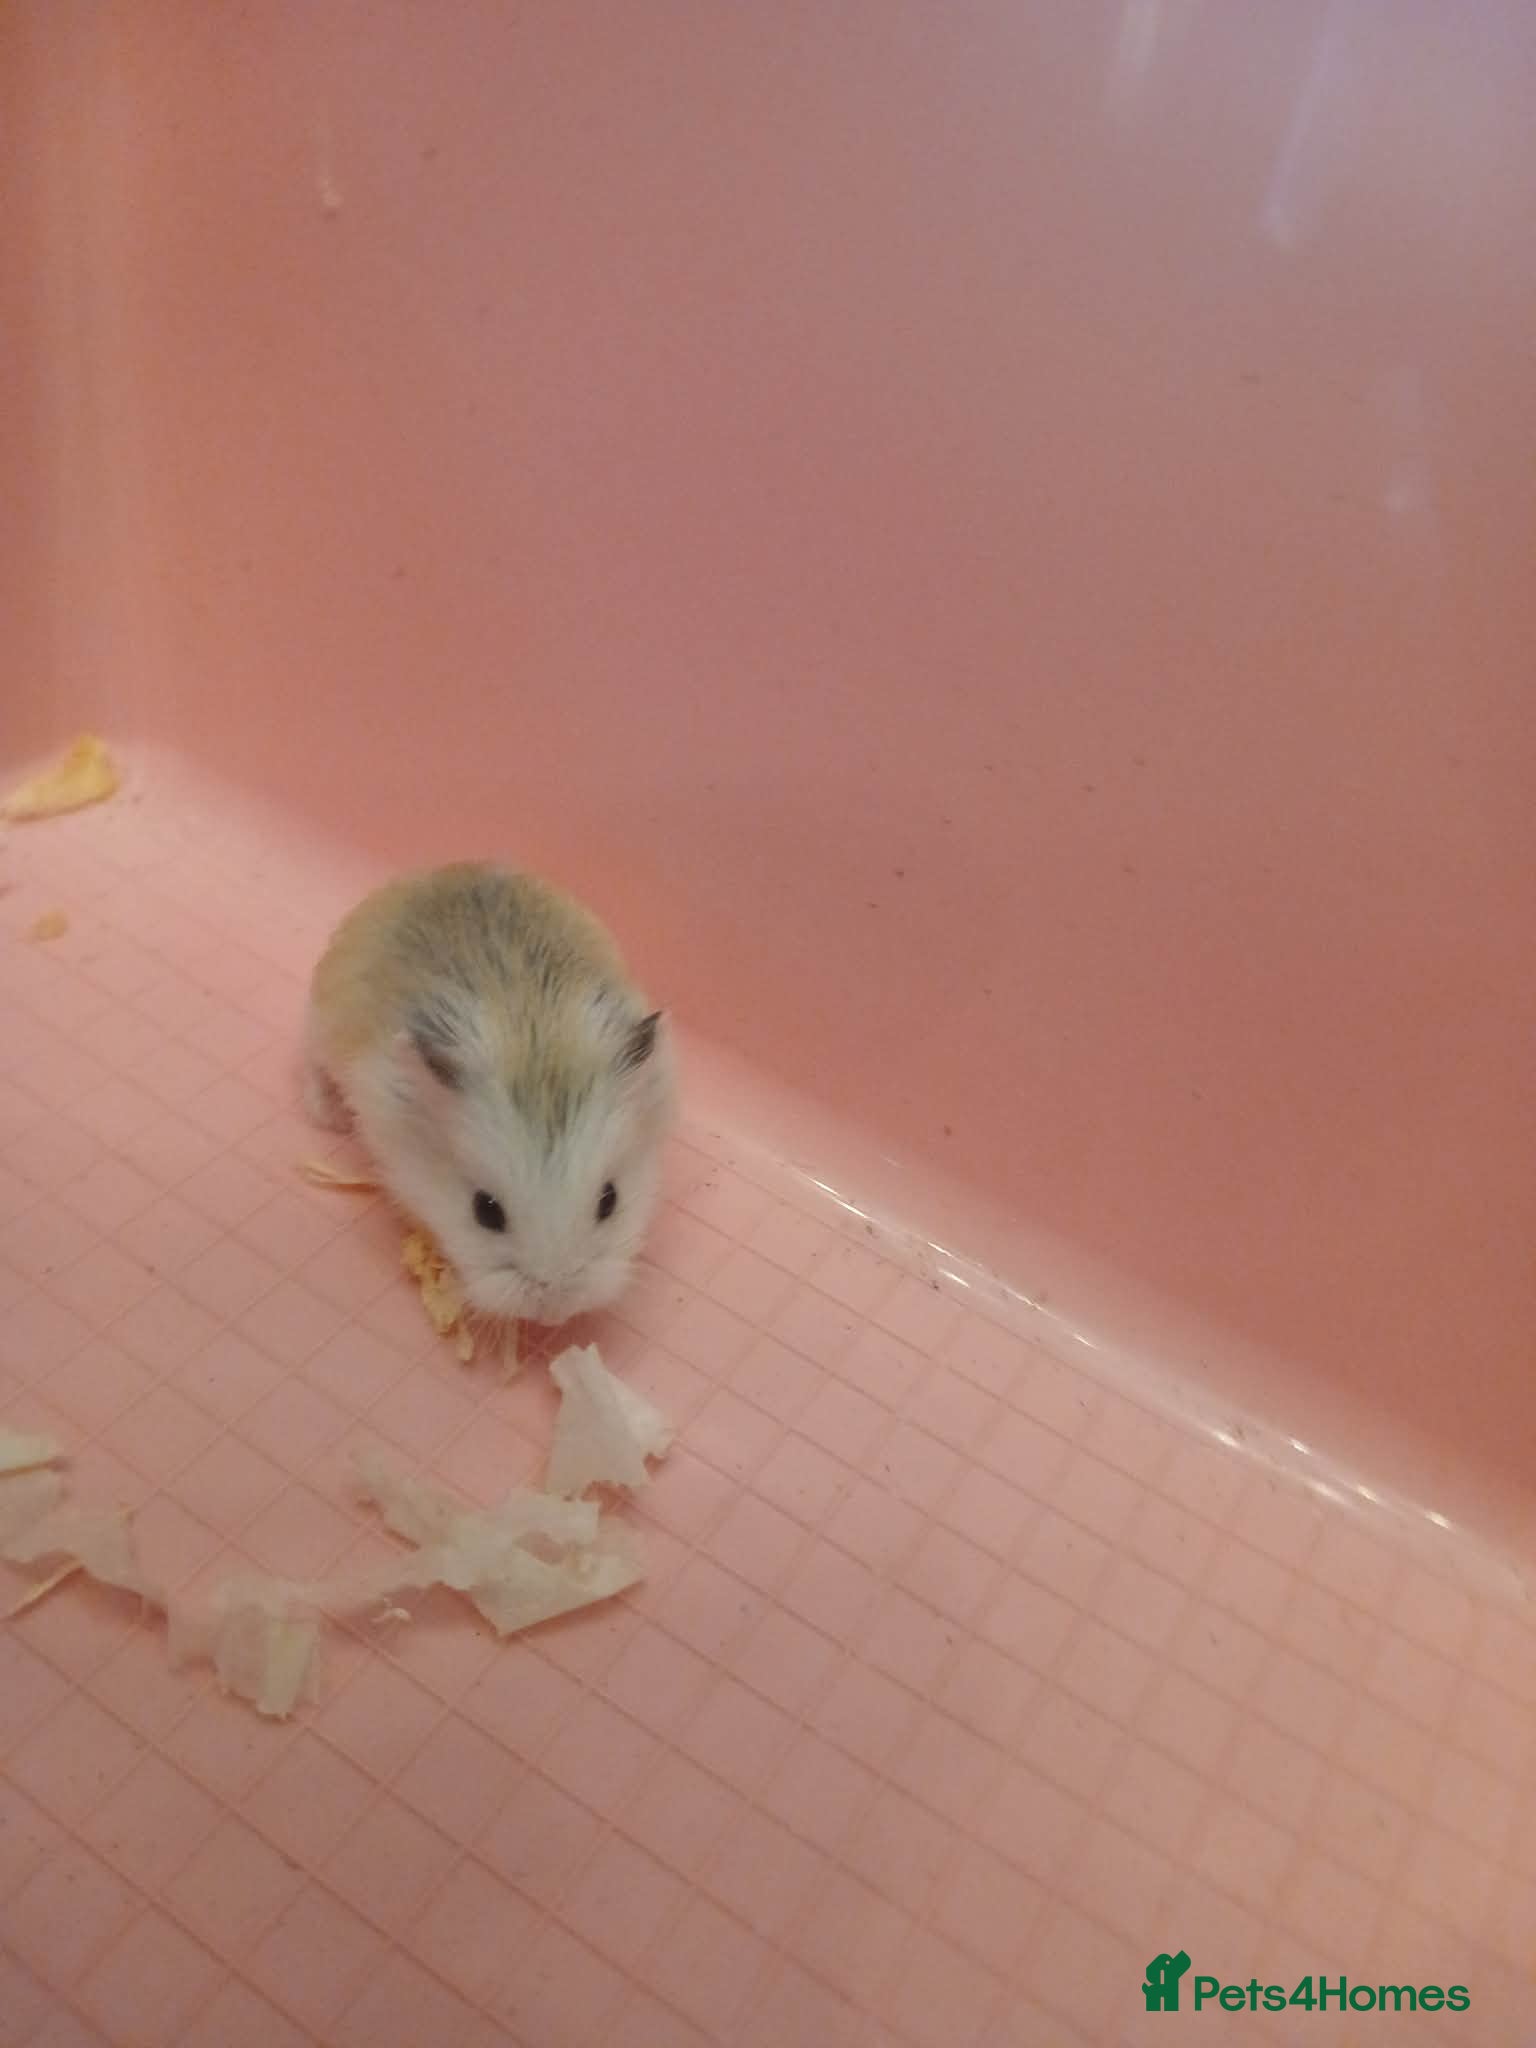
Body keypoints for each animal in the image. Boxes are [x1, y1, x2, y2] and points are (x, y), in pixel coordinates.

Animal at [303, 863, 675, 1327]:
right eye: (485, 1211)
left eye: (610, 1200)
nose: (555, 1311)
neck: (536, 1043)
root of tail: (443, 870)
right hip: (319, 1024)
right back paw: (329, 1116)